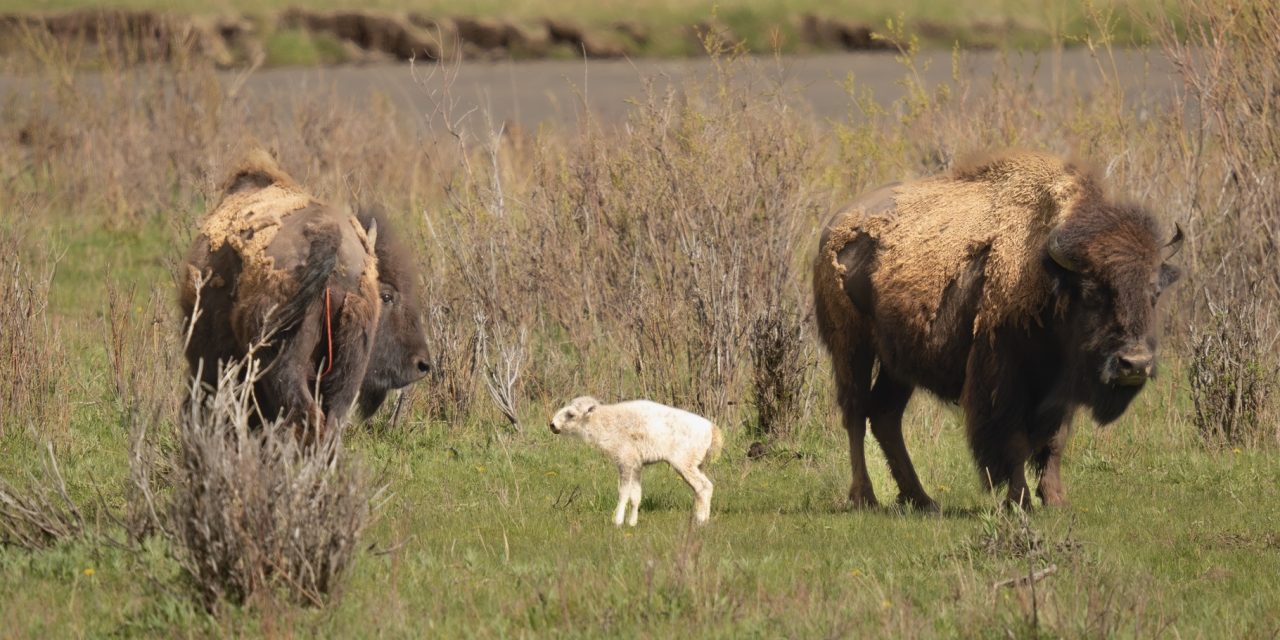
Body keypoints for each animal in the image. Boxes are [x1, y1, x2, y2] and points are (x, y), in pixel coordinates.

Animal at [813, 151, 1183, 509]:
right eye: (1093, 292)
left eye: (1154, 293)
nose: (1134, 364)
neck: (1051, 273)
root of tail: (834, 226)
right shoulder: (1002, 380)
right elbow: (1013, 441)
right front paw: (1018, 500)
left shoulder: (1060, 389)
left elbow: (1055, 441)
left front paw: (1056, 500)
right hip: (852, 347)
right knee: (855, 412)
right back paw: (866, 497)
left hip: (898, 362)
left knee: (885, 415)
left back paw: (921, 499)